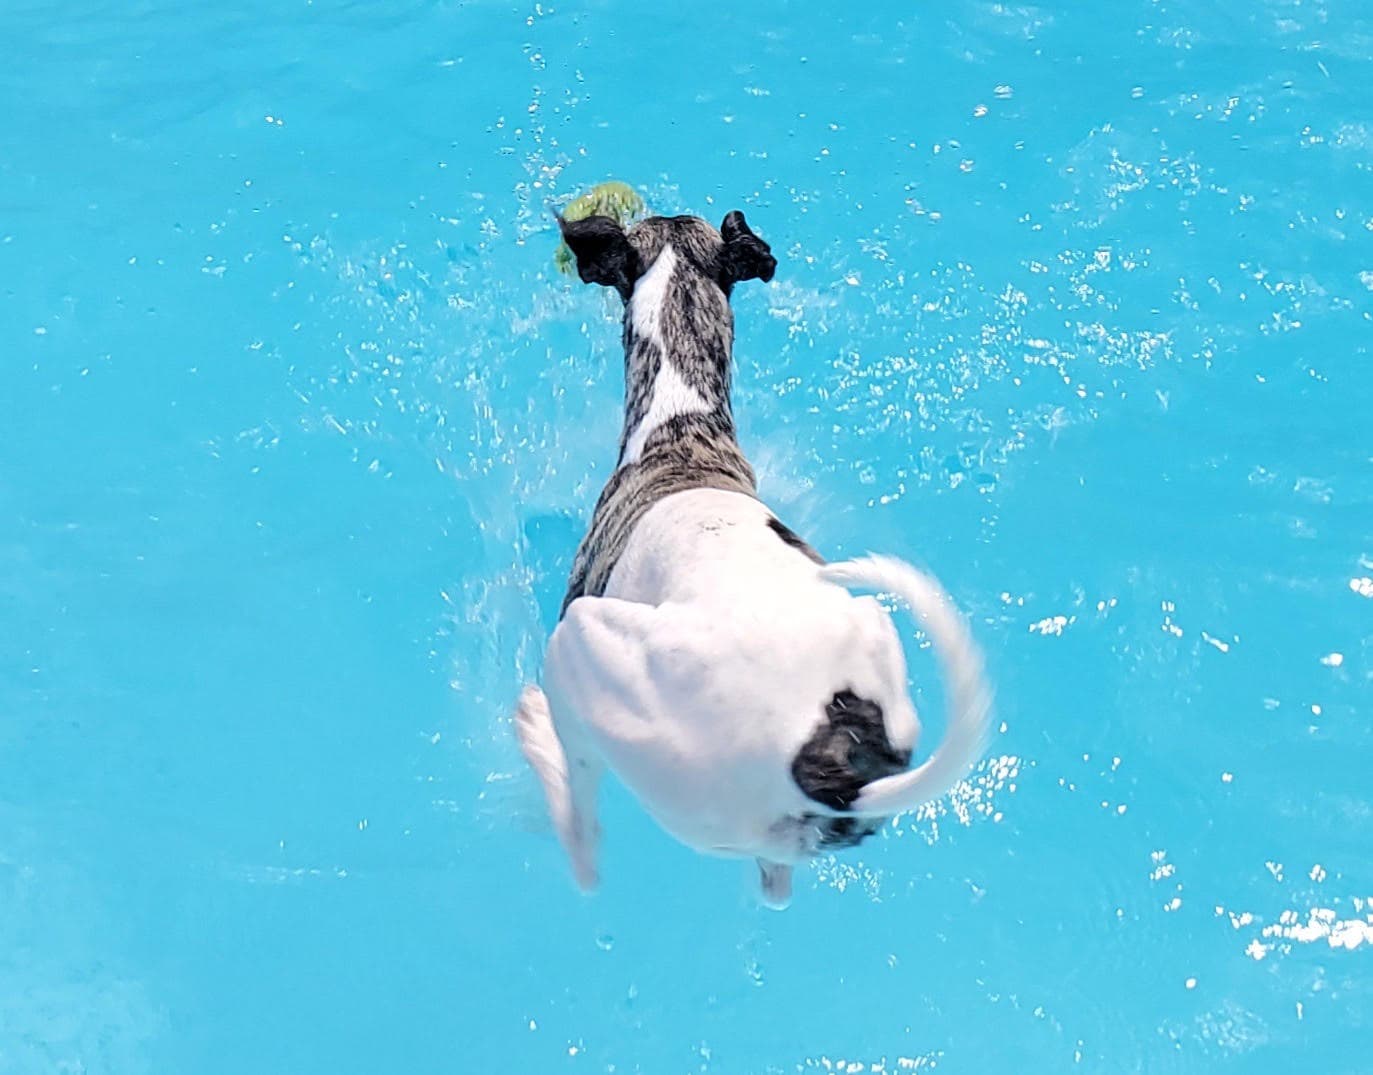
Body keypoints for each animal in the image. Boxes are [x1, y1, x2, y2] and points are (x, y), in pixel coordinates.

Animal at [513, 210, 988, 906]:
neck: (681, 427)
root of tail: (837, 771)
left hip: (584, 657)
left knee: (586, 849)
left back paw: (537, 738)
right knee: (775, 886)